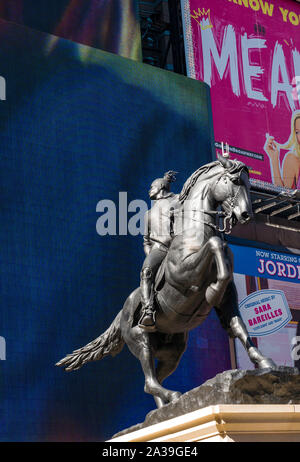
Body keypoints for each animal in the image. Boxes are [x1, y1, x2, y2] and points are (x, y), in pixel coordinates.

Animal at [56, 159, 276, 408]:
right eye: (236, 180)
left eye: (249, 183)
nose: (246, 214)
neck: (194, 233)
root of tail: (121, 312)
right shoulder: (186, 273)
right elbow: (214, 244)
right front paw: (212, 291)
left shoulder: (228, 299)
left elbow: (238, 326)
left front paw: (264, 361)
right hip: (140, 339)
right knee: (149, 381)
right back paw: (172, 395)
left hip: (173, 352)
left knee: (154, 381)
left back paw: (164, 408)